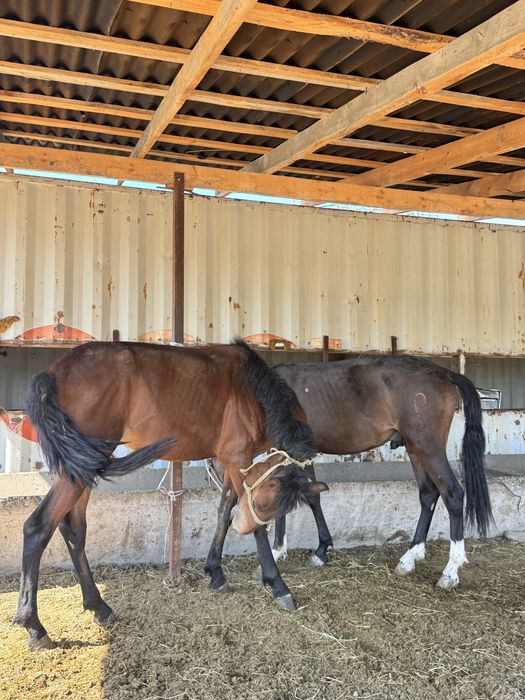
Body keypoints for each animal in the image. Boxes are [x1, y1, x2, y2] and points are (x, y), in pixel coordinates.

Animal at [13, 339, 326, 650]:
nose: (243, 527)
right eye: (267, 500)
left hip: (84, 466)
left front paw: (216, 572)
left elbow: (224, 511)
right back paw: (34, 626)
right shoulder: (237, 458)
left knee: (74, 529)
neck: (252, 389)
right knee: (38, 527)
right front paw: (277, 585)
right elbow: (255, 526)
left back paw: (99, 607)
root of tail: (54, 372)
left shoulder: (230, 462)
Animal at [209, 355, 492, 591]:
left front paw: (287, 551)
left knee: (452, 494)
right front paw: (309, 550)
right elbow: (307, 497)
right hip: (415, 449)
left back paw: (451, 570)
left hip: (428, 447)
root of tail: (444, 373)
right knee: (428, 495)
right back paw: (410, 557)